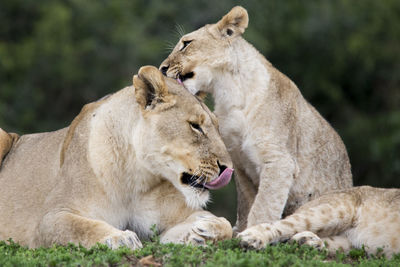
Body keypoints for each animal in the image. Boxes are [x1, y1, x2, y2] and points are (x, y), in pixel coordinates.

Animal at [0, 66, 233, 250]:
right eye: (195, 126)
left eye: (217, 126)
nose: (228, 168)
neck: (136, 177)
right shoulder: (51, 217)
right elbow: (80, 226)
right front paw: (120, 238)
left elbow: (226, 224)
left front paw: (204, 230)